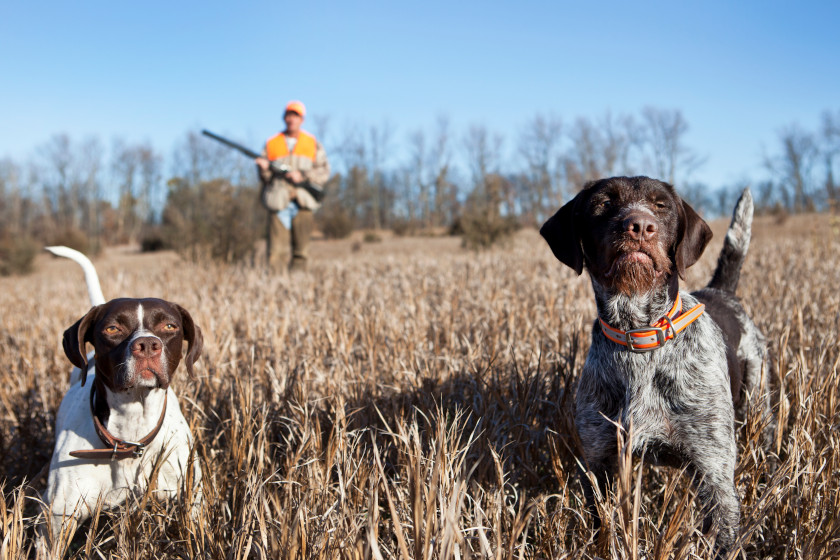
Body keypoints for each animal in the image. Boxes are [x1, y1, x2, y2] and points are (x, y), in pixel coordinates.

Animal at [540, 178, 772, 552]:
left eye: (661, 206)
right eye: (603, 203)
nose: (639, 226)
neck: (639, 337)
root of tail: (722, 293)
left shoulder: (715, 473)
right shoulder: (600, 463)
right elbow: (606, 529)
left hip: (758, 404)